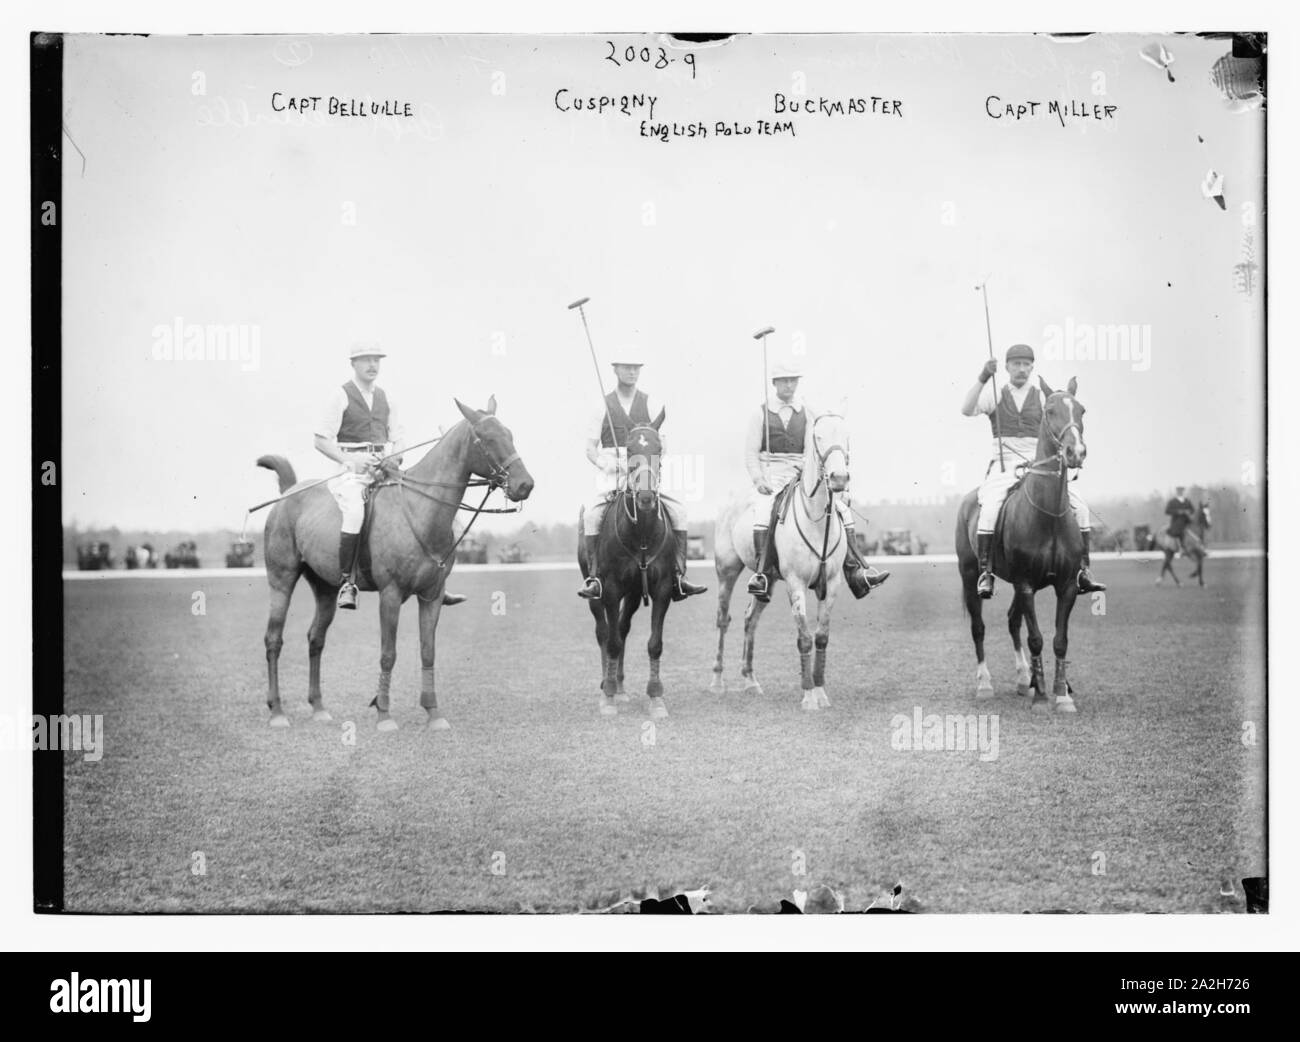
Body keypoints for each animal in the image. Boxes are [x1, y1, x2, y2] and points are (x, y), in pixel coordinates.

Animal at [256, 397, 530, 732]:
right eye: (487, 438)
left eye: (510, 435)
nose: (525, 485)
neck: (420, 510)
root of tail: (287, 492)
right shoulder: (390, 594)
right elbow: (388, 653)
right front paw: (384, 715)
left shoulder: (432, 595)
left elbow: (428, 652)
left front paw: (433, 713)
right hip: (281, 579)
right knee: (273, 639)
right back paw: (277, 712)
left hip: (325, 587)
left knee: (315, 638)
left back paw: (319, 707)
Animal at [582, 413, 681, 717]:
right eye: (628, 449)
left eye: (658, 448)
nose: (646, 498)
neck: (643, 535)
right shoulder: (611, 588)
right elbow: (611, 642)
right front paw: (608, 698)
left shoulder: (661, 588)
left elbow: (654, 644)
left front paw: (656, 698)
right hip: (596, 594)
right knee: (604, 632)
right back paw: (607, 685)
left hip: (635, 594)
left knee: (623, 627)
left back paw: (620, 686)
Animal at [712, 410, 852, 711]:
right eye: (818, 437)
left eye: (846, 435)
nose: (839, 478)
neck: (817, 521)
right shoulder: (795, 583)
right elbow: (804, 638)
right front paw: (808, 696)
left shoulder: (832, 584)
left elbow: (821, 637)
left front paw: (820, 692)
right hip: (726, 571)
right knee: (723, 619)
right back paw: (717, 681)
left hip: (768, 582)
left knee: (750, 620)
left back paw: (750, 680)